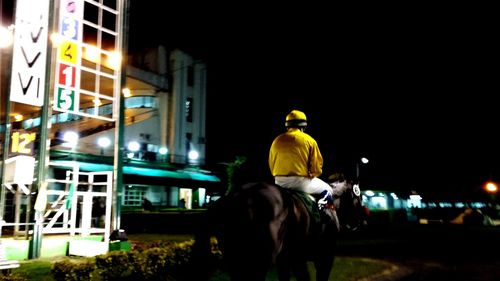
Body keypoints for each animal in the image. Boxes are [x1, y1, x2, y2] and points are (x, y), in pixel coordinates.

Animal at [190, 179, 364, 280]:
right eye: (358, 197)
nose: (360, 222)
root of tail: (233, 197)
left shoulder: (290, 260)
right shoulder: (325, 257)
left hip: (235, 257)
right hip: (260, 259)